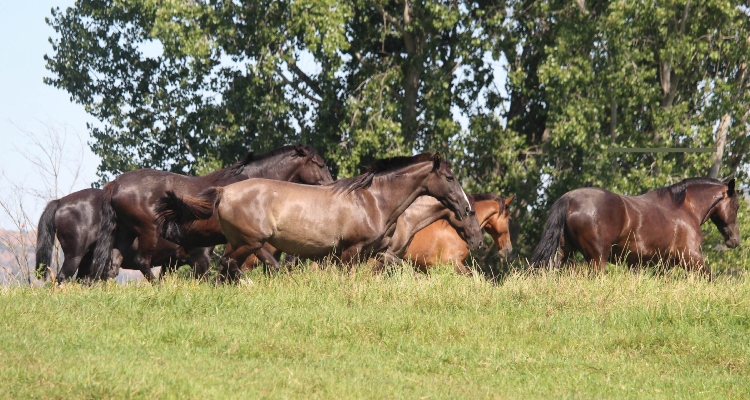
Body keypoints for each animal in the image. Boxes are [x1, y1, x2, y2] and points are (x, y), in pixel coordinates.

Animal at [157, 153, 476, 282]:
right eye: (449, 177)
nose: (465, 208)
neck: (373, 200)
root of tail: (223, 191)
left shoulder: (377, 252)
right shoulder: (351, 251)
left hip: (241, 243)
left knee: (225, 269)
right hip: (249, 242)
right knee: (229, 267)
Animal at [532, 178, 744, 278]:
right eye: (736, 206)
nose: (734, 240)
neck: (684, 208)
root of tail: (569, 199)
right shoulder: (690, 257)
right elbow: (710, 277)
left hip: (564, 252)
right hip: (597, 258)